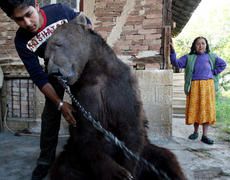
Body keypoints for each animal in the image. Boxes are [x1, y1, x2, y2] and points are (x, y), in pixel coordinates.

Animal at [45, 14, 187, 179]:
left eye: (58, 44)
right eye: (46, 57)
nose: (52, 72)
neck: (96, 70)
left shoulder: (123, 88)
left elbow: (131, 128)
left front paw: (127, 171)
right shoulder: (84, 94)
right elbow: (87, 134)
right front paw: (118, 173)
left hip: (148, 152)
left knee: (166, 159)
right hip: (73, 156)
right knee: (65, 169)